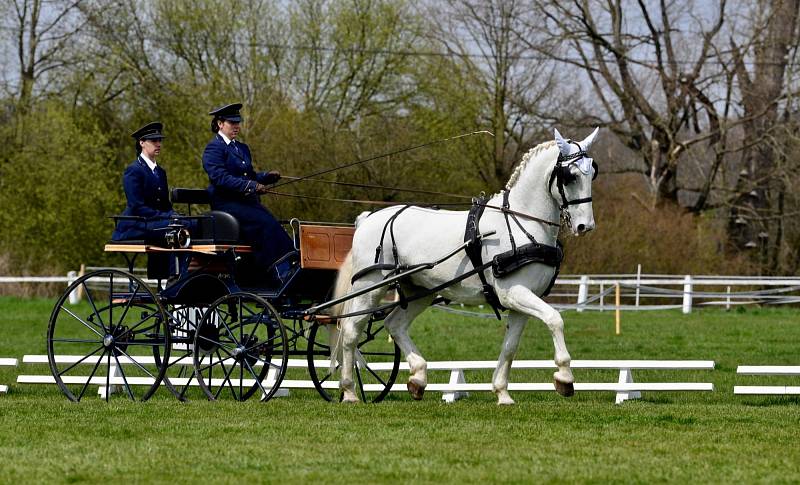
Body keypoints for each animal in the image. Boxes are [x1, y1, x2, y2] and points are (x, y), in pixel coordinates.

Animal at [328, 126, 596, 402]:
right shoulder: (514, 293)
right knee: (351, 331)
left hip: (419, 290)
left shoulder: (524, 299)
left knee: (395, 324)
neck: (522, 223)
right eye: (570, 176)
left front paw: (502, 392)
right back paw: (349, 391)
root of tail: (367, 218)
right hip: (370, 287)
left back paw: (418, 377)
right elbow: (555, 319)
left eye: (592, 172)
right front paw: (564, 377)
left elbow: (510, 347)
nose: (585, 226)